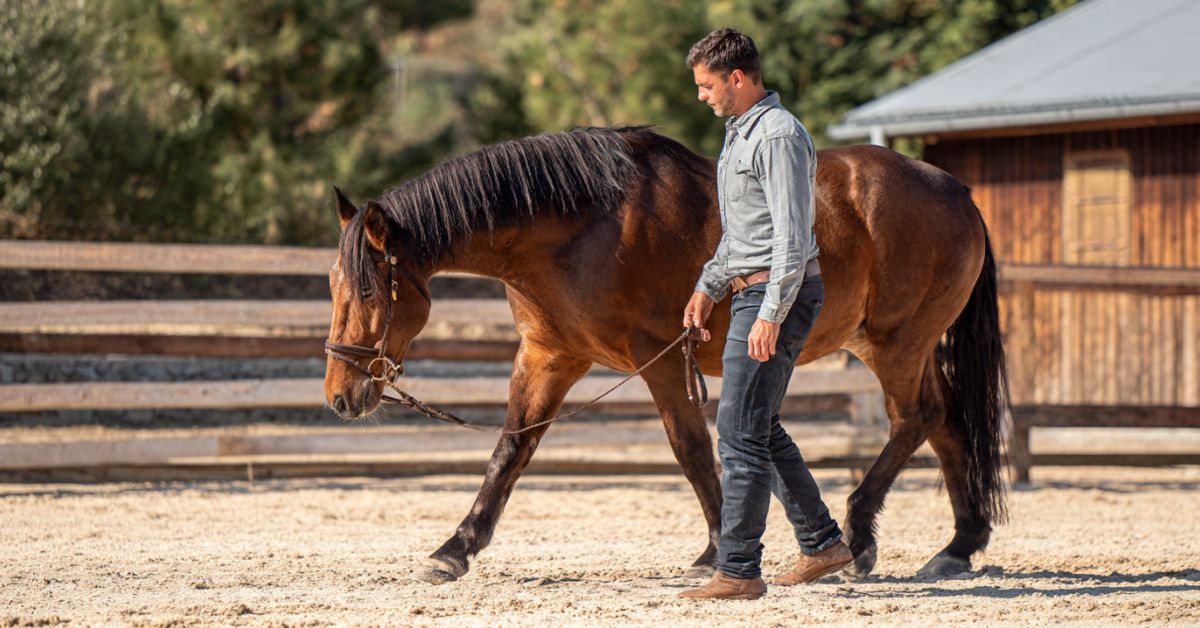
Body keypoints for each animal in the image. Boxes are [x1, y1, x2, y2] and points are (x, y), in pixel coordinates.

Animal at [323, 126, 1008, 584]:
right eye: (332, 285)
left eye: (368, 290)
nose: (339, 396)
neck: (578, 225)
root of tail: (956, 191)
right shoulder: (548, 356)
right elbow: (510, 451)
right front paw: (454, 549)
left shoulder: (657, 355)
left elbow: (690, 447)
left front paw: (715, 552)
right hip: (890, 344)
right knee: (947, 423)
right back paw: (957, 546)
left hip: (898, 344)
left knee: (915, 418)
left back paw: (863, 535)